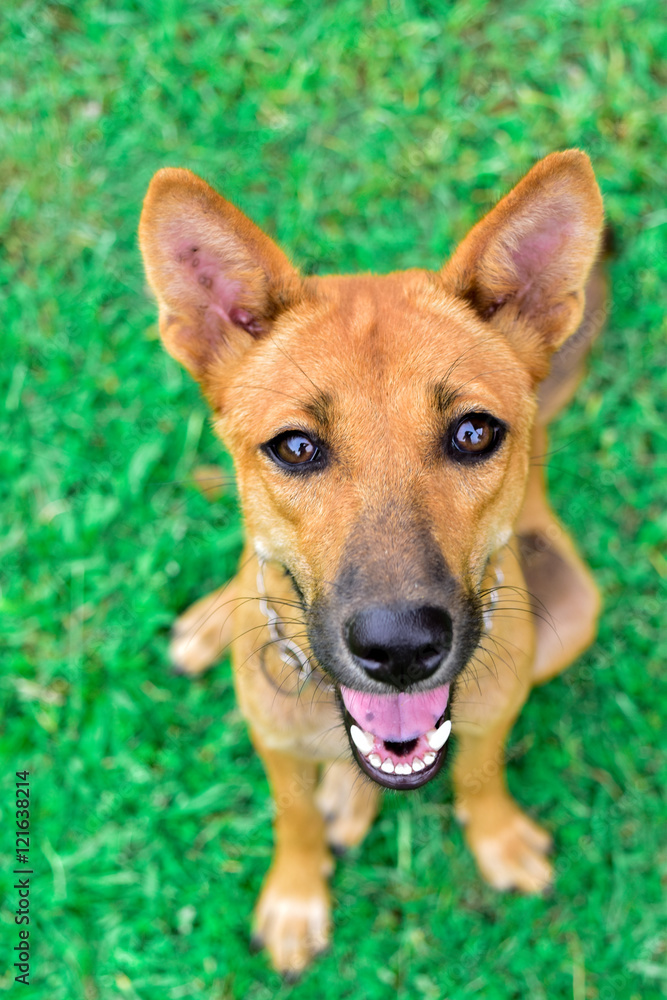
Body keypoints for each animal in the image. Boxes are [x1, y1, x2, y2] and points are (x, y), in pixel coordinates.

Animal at [138, 148, 608, 976]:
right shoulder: (274, 741)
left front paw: (496, 838)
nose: (400, 651)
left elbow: (479, 772)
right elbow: (291, 814)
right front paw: (296, 894)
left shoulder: (491, 713)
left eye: (474, 433)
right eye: (296, 447)